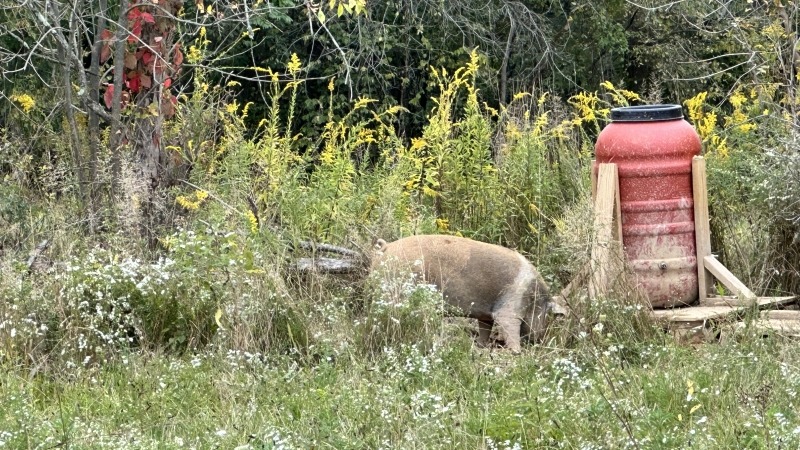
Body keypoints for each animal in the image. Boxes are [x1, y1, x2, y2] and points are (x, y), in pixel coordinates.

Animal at [371, 235, 551, 352]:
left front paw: (480, 346)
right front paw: (516, 353)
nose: (540, 340)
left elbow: (485, 327)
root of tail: (386, 247)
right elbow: (510, 327)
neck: (534, 296)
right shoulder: (510, 307)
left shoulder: (485, 314)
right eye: (550, 315)